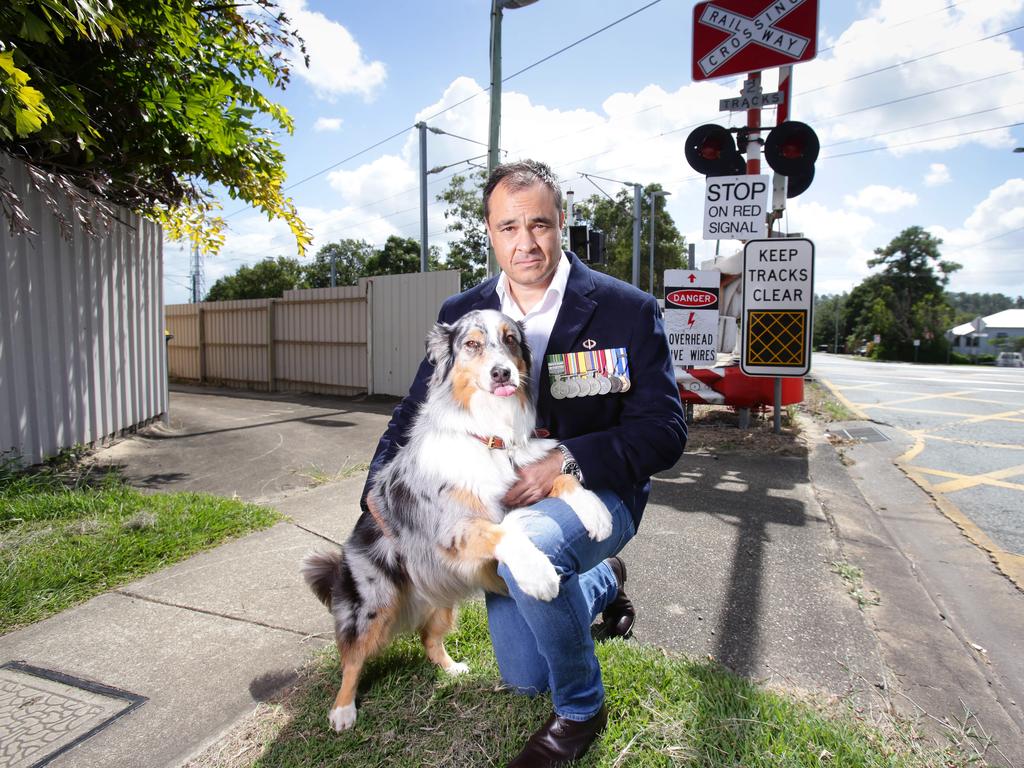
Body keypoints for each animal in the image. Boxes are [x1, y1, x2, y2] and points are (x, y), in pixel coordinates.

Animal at [299, 309, 610, 733]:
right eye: (472, 344)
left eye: (510, 340)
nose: (502, 374)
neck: (490, 435)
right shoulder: (448, 531)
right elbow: (503, 532)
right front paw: (538, 574)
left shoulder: (522, 487)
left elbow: (561, 478)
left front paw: (596, 512)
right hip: (375, 604)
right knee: (352, 658)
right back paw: (343, 711)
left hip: (442, 600)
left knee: (428, 640)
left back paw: (452, 669)